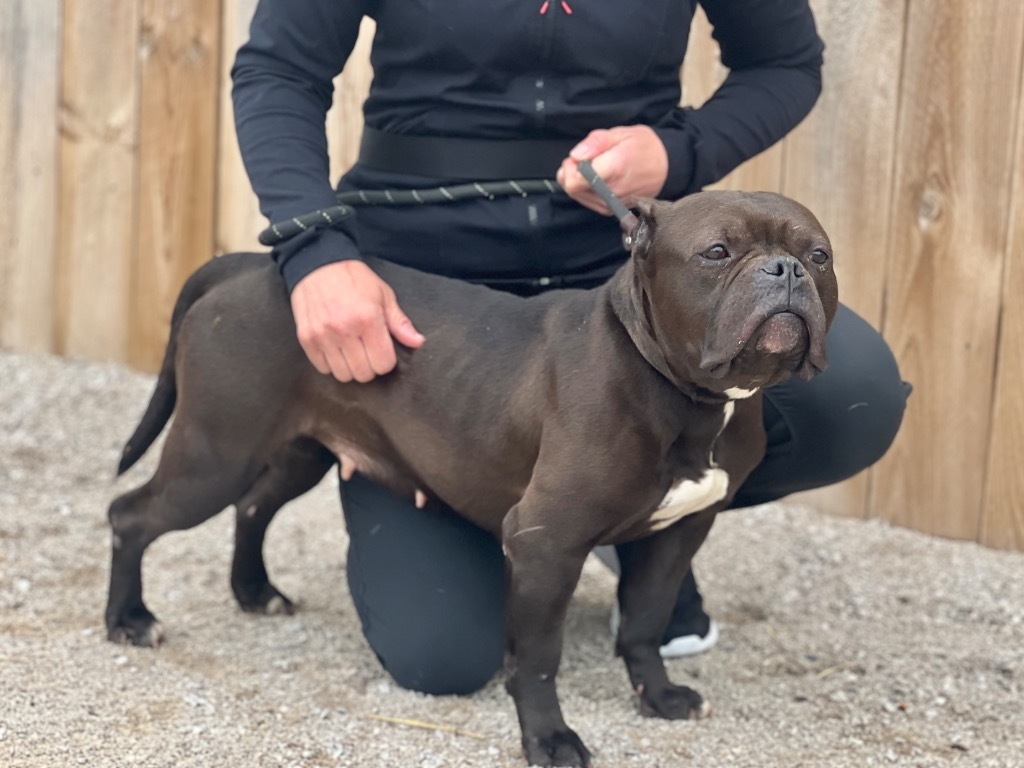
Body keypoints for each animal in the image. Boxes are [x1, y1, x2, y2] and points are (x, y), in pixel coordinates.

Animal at [105, 189, 839, 765]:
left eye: (820, 256)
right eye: (717, 252)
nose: (783, 269)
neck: (687, 391)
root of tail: (246, 265)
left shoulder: (680, 531)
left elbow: (644, 623)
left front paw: (657, 697)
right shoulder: (546, 545)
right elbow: (538, 659)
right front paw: (550, 740)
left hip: (296, 452)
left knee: (252, 506)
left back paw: (254, 592)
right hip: (212, 456)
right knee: (131, 515)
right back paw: (129, 620)